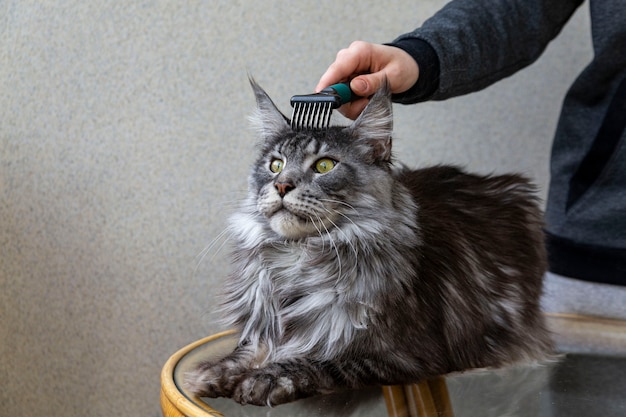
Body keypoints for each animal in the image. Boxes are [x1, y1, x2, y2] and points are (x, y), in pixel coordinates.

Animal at [184, 79, 552, 406]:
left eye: (324, 165)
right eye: (275, 165)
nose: (282, 185)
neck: (297, 261)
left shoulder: (408, 356)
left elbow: (320, 361)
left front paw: (265, 379)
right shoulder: (263, 326)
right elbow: (247, 350)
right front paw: (212, 373)